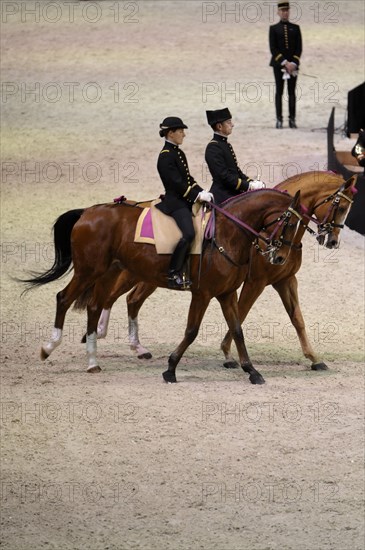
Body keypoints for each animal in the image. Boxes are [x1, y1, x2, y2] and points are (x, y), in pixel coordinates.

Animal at [23, 189, 302, 384]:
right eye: (289, 223)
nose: (280, 257)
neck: (226, 234)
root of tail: (88, 212)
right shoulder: (202, 294)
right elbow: (191, 331)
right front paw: (170, 368)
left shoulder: (226, 294)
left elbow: (237, 330)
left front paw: (252, 371)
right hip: (89, 271)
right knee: (63, 298)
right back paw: (49, 348)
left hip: (108, 272)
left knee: (94, 307)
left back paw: (92, 361)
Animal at [90, 171, 356, 370]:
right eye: (341, 206)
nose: (332, 241)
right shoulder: (254, 282)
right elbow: (242, 312)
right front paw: (229, 353)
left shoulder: (285, 280)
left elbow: (297, 318)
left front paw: (314, 358)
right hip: (137, 271)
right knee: (115, 296)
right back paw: (100, 334)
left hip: (146, 274)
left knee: (130, 299)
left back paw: (132, 346)